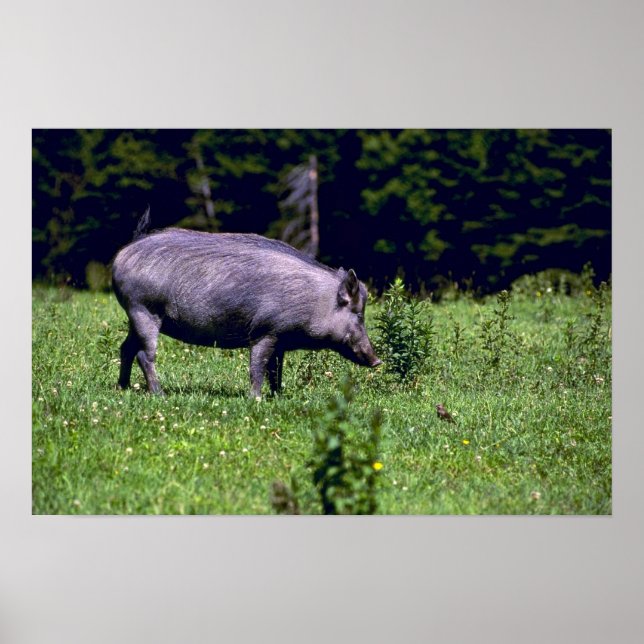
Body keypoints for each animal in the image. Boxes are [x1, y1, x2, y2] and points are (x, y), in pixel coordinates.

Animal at [111, 209, 381, 398]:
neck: (315, 302)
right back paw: (160, 394)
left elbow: (275, 371)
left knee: (126, 348)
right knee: (144, 355)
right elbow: (258, 367)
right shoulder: (265, 331)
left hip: (135, 317)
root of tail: (125, 252)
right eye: (358, 314)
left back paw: (123, 387)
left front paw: (278, 396)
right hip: (144, 310)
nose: (378, 361)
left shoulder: (280, 342)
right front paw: (255, 399)